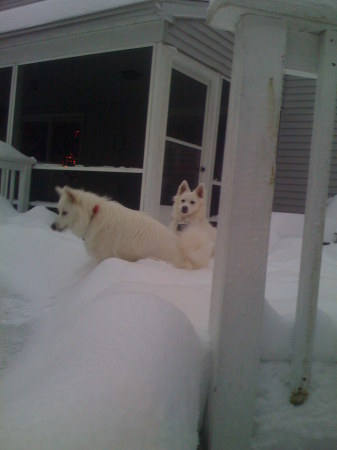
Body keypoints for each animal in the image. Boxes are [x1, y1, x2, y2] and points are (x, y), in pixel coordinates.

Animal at [50, 185, 211, 268]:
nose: (52, 226)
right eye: (58, 210)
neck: (93, 214)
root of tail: (182, 249)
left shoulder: (104, 255)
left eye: (64, 212)